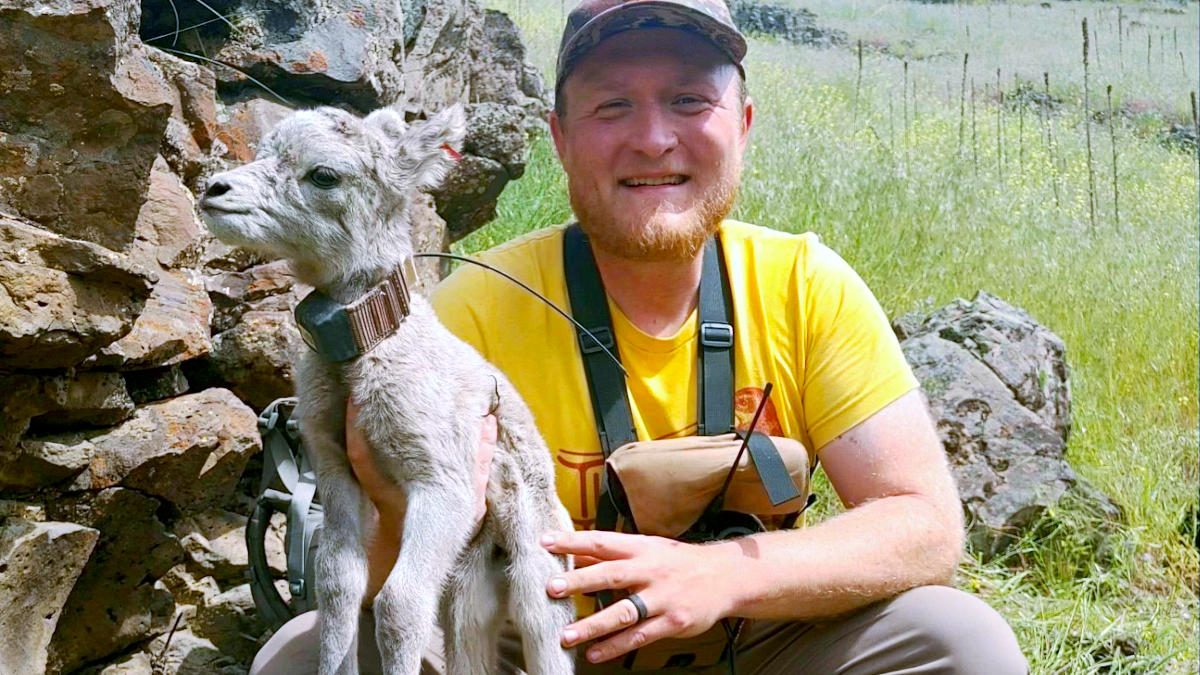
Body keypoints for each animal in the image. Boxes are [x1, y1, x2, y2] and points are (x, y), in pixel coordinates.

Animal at [199, 105, 573, 672]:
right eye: (263, 151)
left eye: (323, 174)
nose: (214, 189)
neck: (361, 361)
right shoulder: (333, 467)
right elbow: (337, 584)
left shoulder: (444, 480)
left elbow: (400, 604)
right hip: (470, 580)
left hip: (538, 558)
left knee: (543, 628)